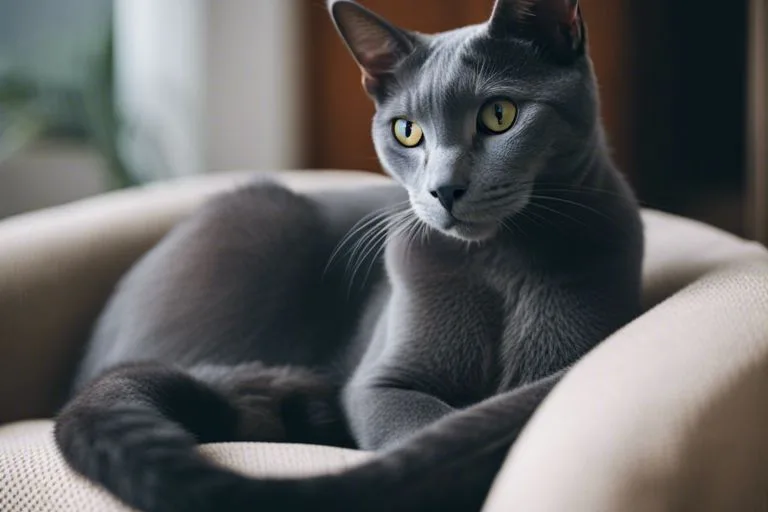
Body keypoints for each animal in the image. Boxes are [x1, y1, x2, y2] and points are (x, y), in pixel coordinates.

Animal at [52, 0, 640, 510]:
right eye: (407, 131)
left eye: (500, 114)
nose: (443, 189)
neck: (496, 263)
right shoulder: (381, 382)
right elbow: (426, 428)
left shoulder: (567, 358)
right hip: (261, 223)